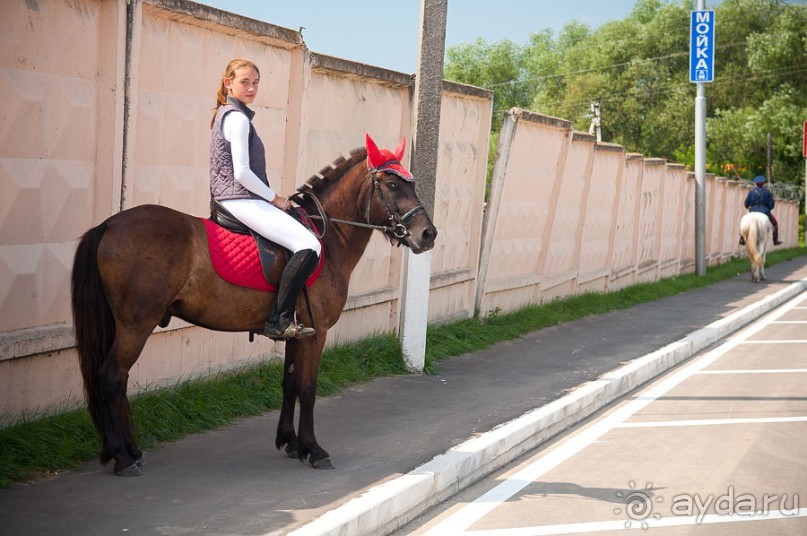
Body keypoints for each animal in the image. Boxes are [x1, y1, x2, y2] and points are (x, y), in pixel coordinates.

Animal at [69, 136, 436, 476]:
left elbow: (290, 383)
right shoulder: (316, 334)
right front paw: (314, 449)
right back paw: (122, 457)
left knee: (117, 380)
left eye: (412, 184)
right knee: (111, 377)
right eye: (391, 184)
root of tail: (109, 224)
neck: (327, 238)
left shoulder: (297, 333)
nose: (428, 235)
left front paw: (290, 442)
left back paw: (129, 450)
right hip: (136, 325)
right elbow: (308, 388)